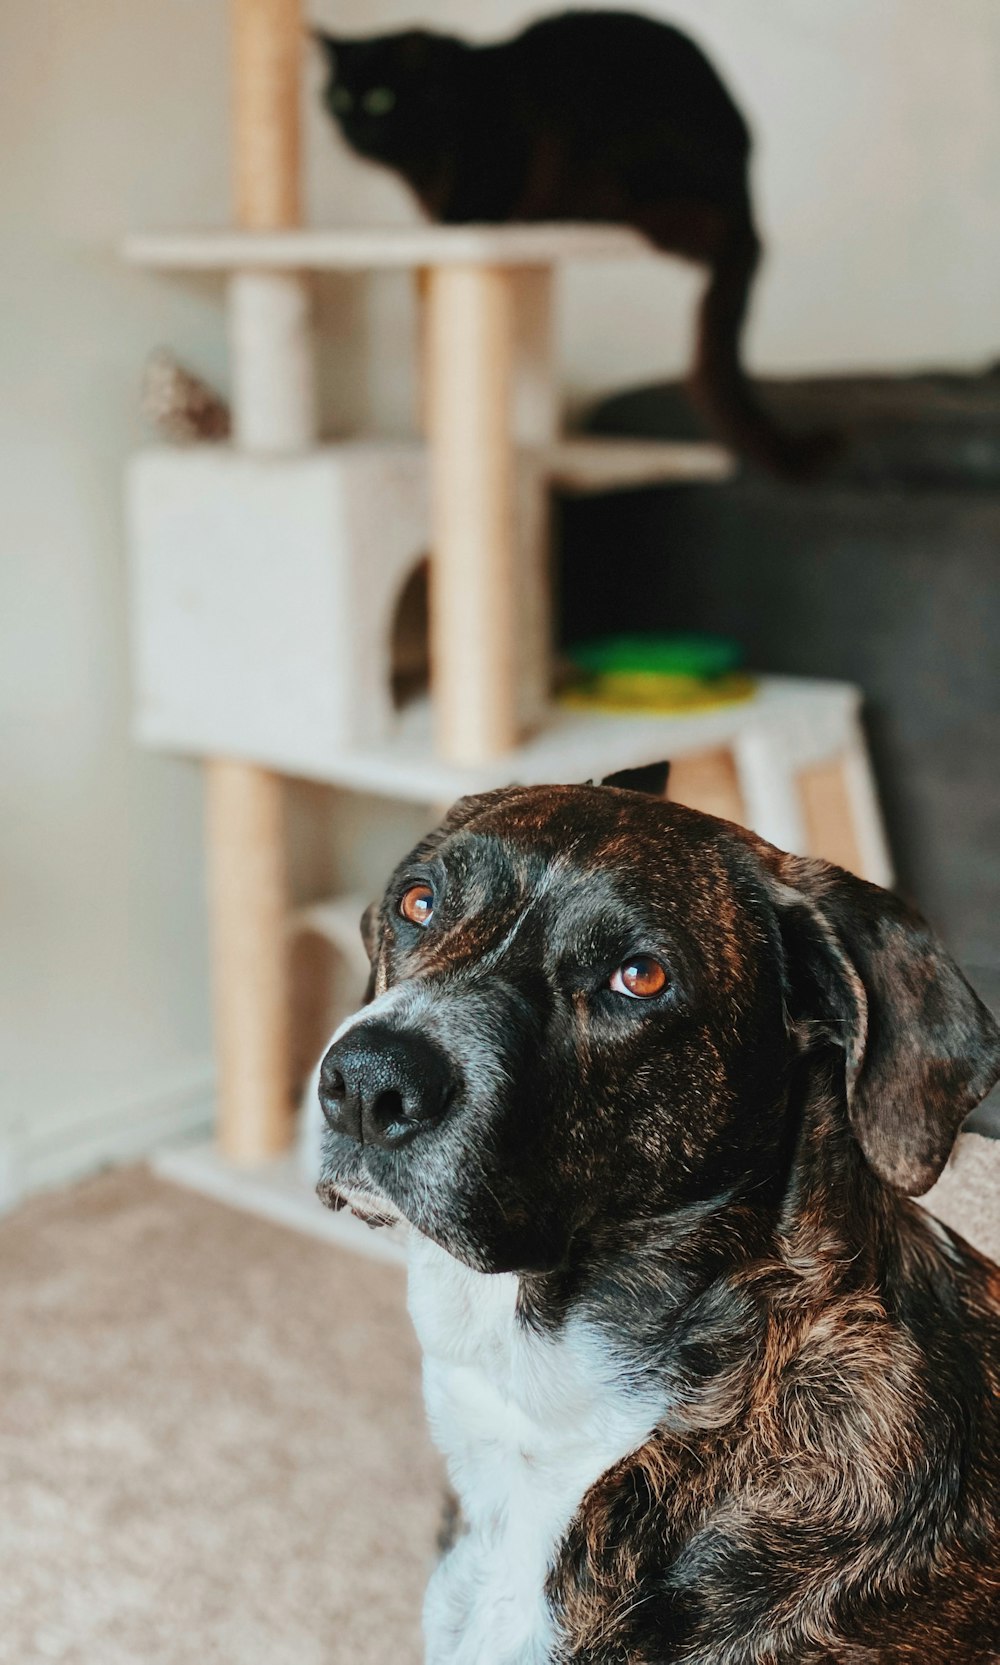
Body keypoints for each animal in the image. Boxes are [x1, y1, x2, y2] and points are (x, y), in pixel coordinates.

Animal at [314, 11, 825, 482]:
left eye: (381, 100)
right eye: (339, 98)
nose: (352, 130)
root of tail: (747, 189)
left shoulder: (502, 152)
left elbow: (471, 210)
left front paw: (451, 231)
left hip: (622, 152)